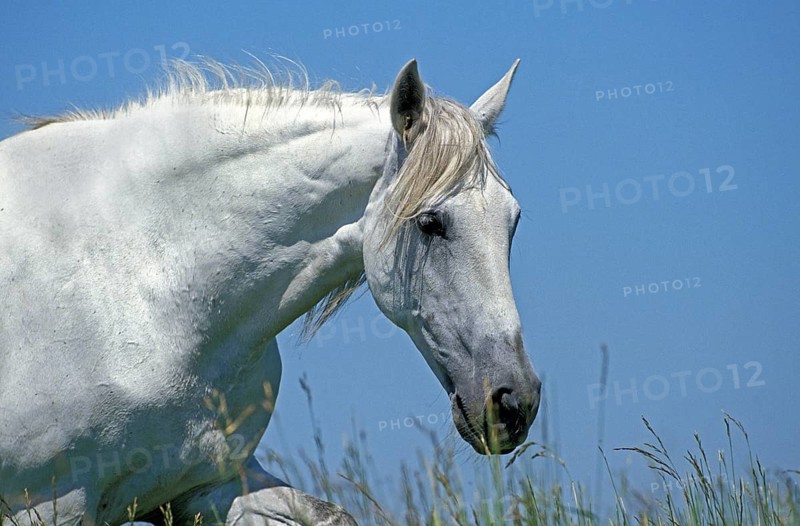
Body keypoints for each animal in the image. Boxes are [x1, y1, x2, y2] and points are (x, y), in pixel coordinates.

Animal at [0, 57, 541, 525]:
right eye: (430, 222)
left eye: (513, 221)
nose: (514, 403)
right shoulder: (50, 505)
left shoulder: (208, 488)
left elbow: (333, 515)